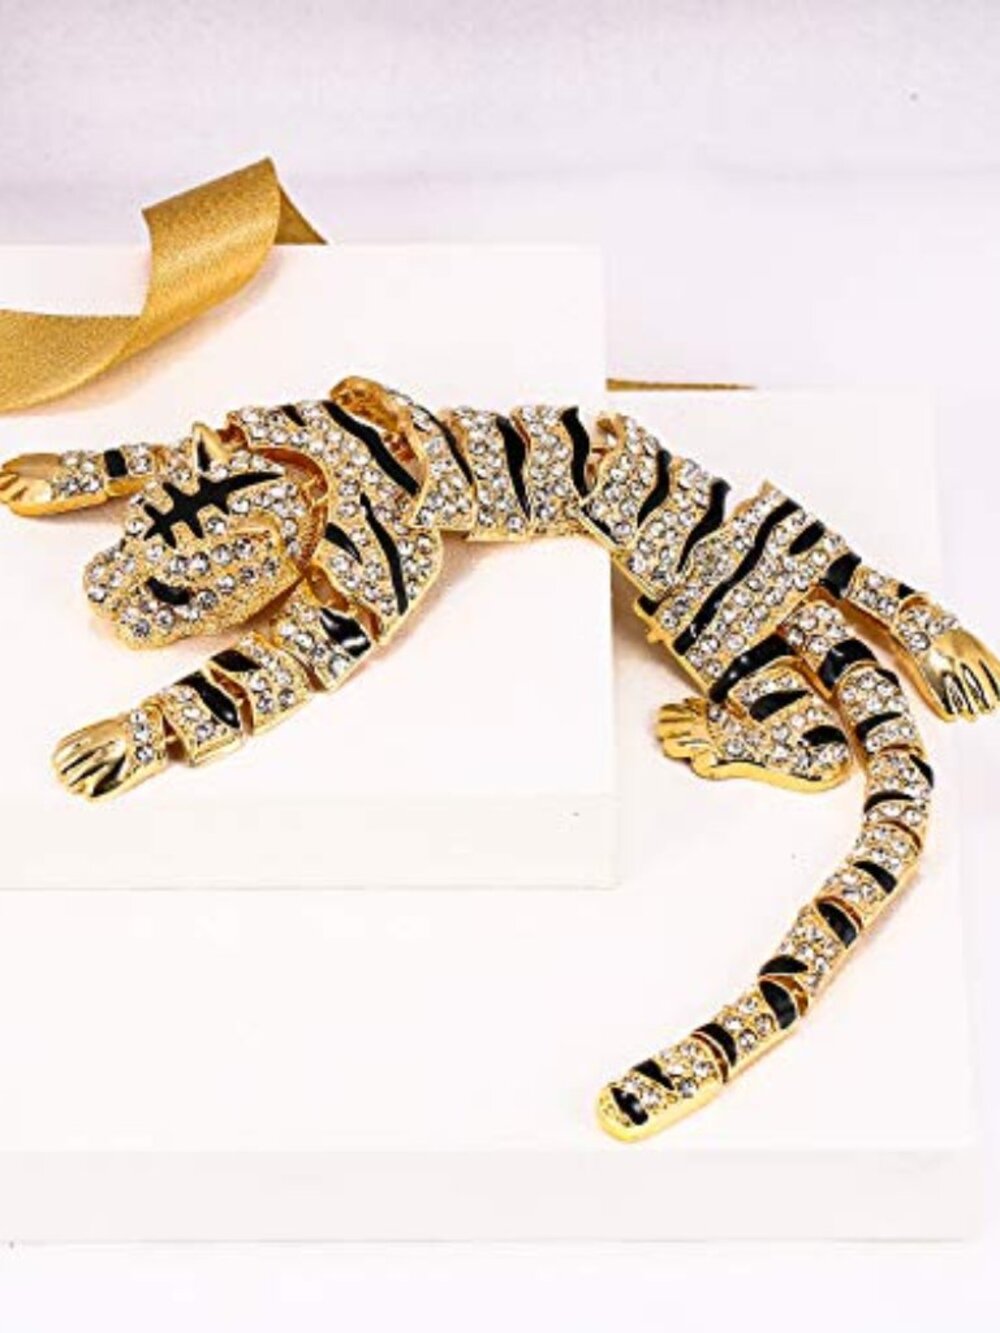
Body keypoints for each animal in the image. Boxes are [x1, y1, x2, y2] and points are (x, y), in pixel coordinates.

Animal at [1, 375, 996, 1141]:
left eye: (172, 587)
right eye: (135, 527)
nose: (93, 594)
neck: (319, 470)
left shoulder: (355, 594)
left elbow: (241, 679)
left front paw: (117, 736)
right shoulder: (274, 418)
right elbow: (150, 442)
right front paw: (52, 470)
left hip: (704, 597)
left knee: (833, 680)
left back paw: (904, 669)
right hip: (745, 612)